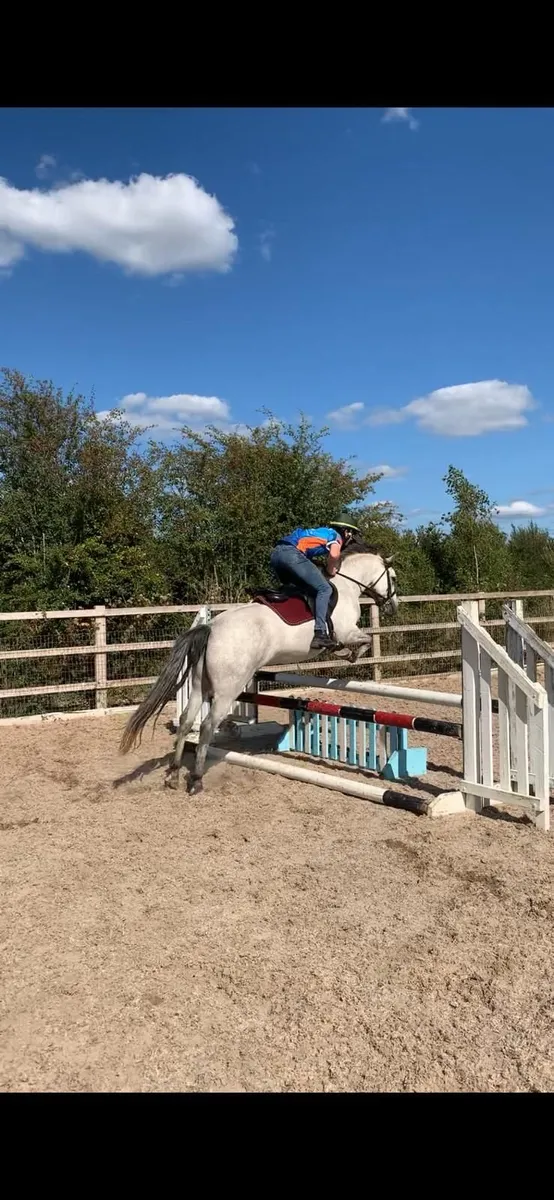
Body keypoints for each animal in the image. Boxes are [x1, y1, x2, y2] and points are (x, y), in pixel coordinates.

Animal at [119, 542, 398, 794]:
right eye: (393, 578)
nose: (392, 606)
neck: (347, 586)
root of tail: (211, 627)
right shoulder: (347, 631)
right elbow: (365, 641)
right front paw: (348, 654)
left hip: (200, 686)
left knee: (187, 720)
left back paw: (175, 775)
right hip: (227, 690)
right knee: (208, 725)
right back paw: (196, 779)